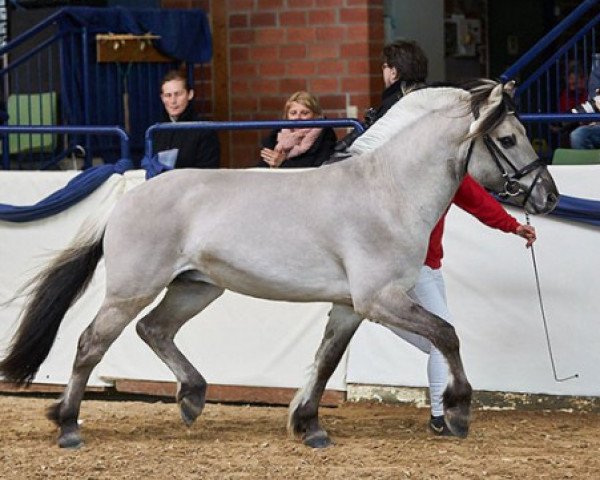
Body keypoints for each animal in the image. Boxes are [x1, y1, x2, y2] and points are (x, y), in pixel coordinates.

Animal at [2, 79, 560, 450]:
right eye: (507, 140)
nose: (549, 197)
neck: (387, 192)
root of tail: (129, 196)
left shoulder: (350, 307)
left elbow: (327, 360)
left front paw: (309, 425)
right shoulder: (379, 300)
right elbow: (447, 335)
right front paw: (461, 412)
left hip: (195, 287)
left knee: (154, 330)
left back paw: (191, 398)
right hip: (131, 290)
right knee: (91, 344)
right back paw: (68, 425)